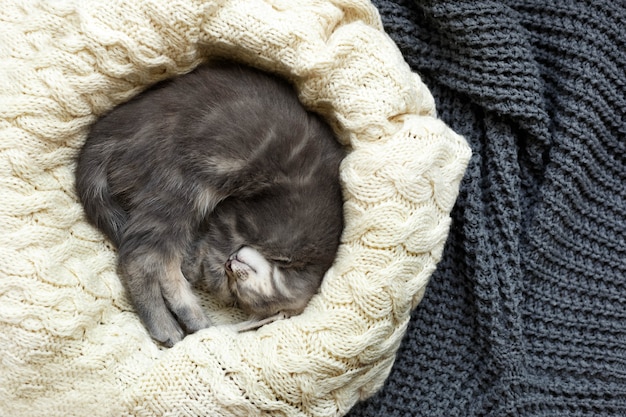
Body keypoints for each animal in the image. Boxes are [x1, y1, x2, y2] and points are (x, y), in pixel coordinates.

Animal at [77, 61, 346, 346]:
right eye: (240, 282)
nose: (231, 266)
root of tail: (106, 133)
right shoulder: (241, 217)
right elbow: (215, 249)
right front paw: (209, 276)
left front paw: (199, 268)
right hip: (179, 188)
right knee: (140, 259)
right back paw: (173, 323)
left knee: (161, 264)